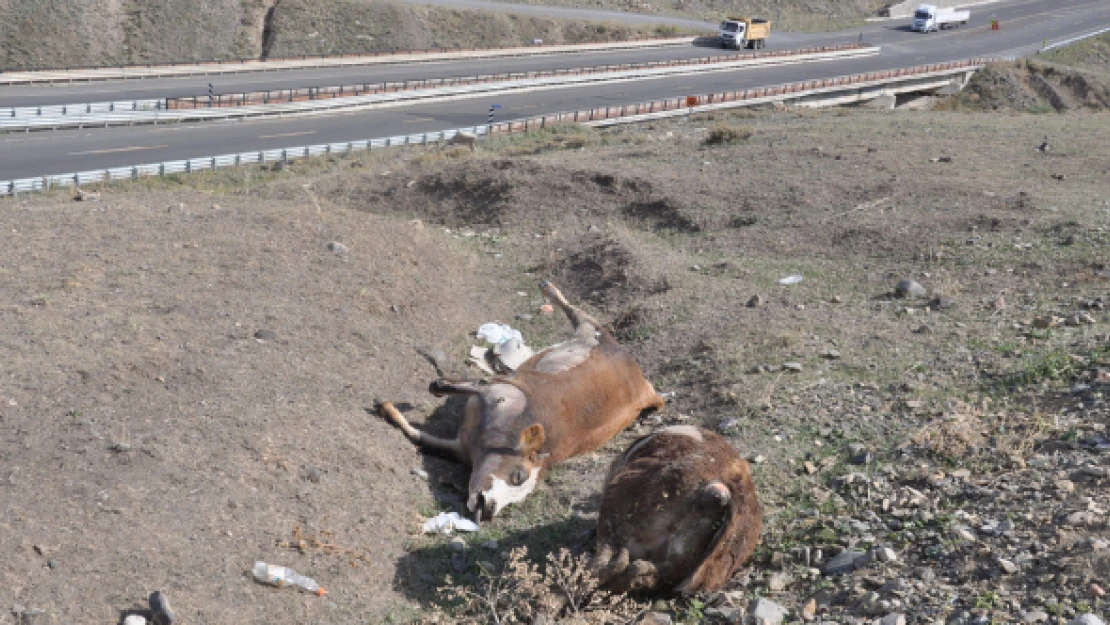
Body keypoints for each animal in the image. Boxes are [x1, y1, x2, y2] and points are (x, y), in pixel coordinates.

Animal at [377, 280, 661, 521]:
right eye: (517, 476)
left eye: (519, 497)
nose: (489, 509)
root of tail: (640, 379)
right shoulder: (498, 392)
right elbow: (442, 388)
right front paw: (392, 405)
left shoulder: (464, 444)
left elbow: (421, 437)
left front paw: (386, 408)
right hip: (593, 332)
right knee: (578, 313)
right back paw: (548, 288)